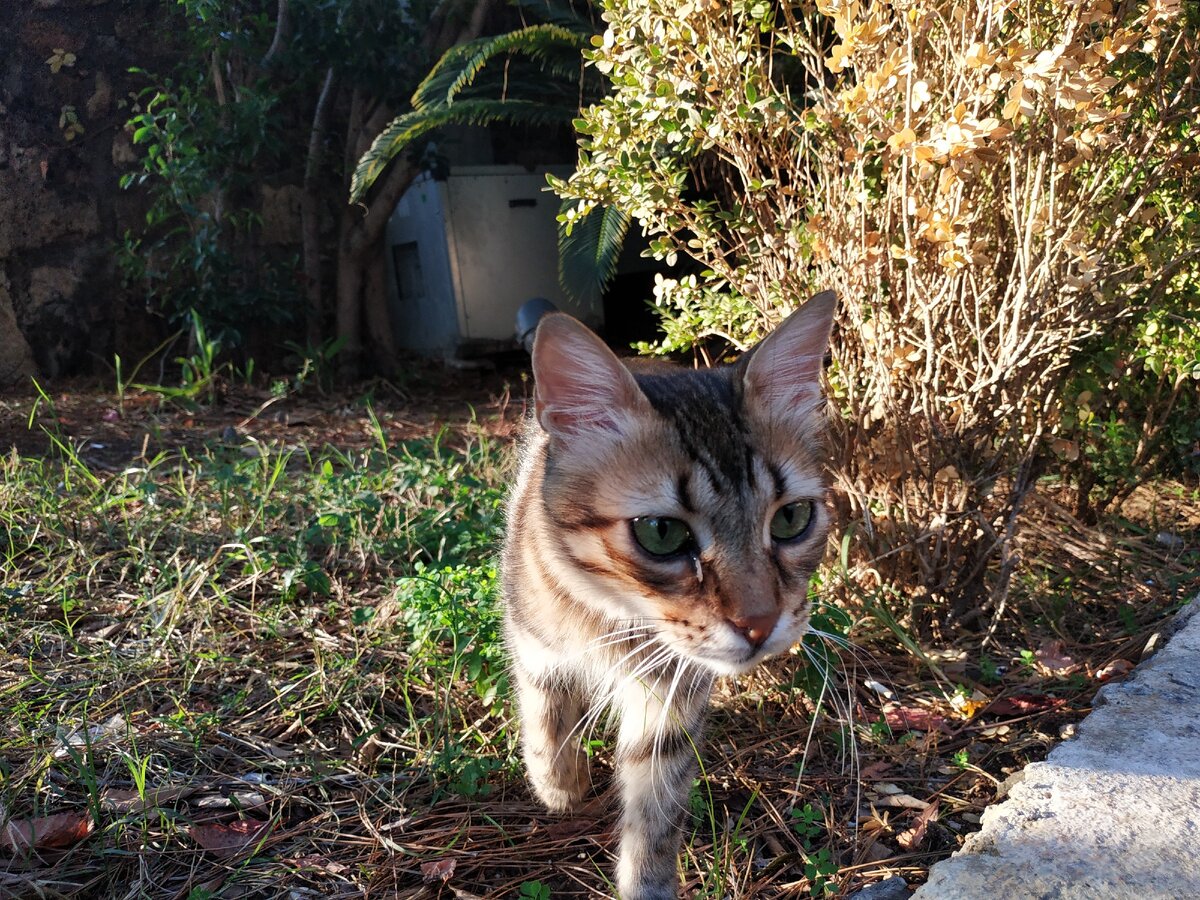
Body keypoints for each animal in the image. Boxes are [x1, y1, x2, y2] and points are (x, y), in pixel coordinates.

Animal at [496, 292, 835, 897]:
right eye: (661, 533)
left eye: (791, 519)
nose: (760, 623)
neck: (618, 619)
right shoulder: (532, 638)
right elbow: (544, 710)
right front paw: (559, 783)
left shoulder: (673, 697)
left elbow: (656, 812)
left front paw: (646, 884)